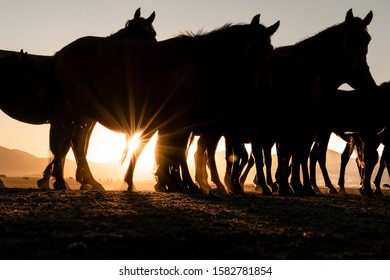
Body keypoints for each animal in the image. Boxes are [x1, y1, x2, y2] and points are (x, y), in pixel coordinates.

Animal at [0, 7, 155, 190]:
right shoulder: (70, 118)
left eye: (153, 33)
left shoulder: (78, 119)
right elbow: (67, 146)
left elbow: (70, 146)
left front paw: (64, 179)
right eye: (139, 33)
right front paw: (63, 180)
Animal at [54, 14, 280, 191]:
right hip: (79, 109)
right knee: (73, 139)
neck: (196, 64)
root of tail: (62, 53)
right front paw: (182, 183)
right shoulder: (181, 119)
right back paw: (73, 180)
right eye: (252, 50)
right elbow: (176, 151)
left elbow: (173, 151)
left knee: (74, 139)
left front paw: (174, 182)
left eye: (270, 50)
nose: (266, 89)